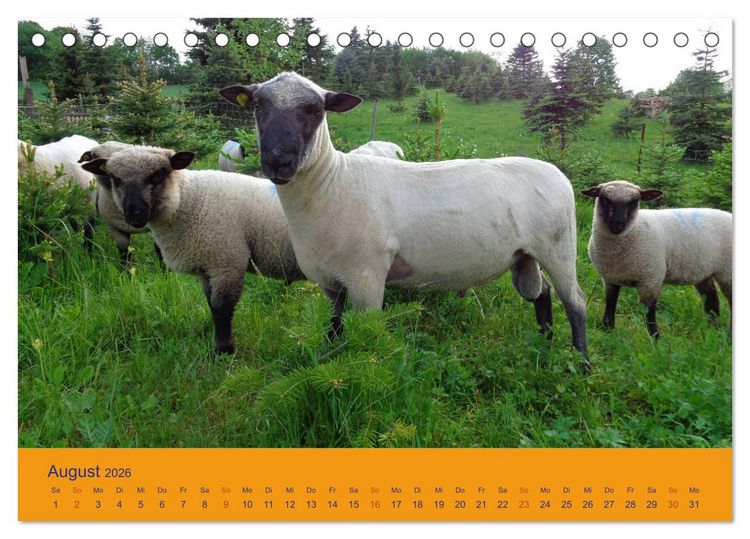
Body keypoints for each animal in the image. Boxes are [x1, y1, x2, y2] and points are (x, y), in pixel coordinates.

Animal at [81, 146, 304, 354]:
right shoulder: (207, 268)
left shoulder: (227, 263)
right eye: (115, 179)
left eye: (159, 174)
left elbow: (222, 307)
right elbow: (211, 304)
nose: (134, 215)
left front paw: (224, 351)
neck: (188, 199)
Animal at [219, 72, 589, 364]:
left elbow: (365, 335)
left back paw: (581, 362)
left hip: (559, 247)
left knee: (576, 302)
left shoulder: (368, 277)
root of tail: (556, 171)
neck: (333, 183)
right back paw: (545, 341)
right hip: (525, 255)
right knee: (540, 293)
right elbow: (334, 329)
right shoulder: (330, 282)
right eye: (257, 106)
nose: (278, 162)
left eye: (314, 110)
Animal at [582, 180, 732, 338]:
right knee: (711, 297)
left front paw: (655, 337)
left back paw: (727, 335)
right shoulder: (610, 278)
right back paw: (713, 330)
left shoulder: (651, 279)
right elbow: (610, 302)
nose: (617, 224)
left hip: (727, 272)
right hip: (702, 270)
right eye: (605, 199)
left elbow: (649, 311)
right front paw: (607, 328)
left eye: (634, 201)